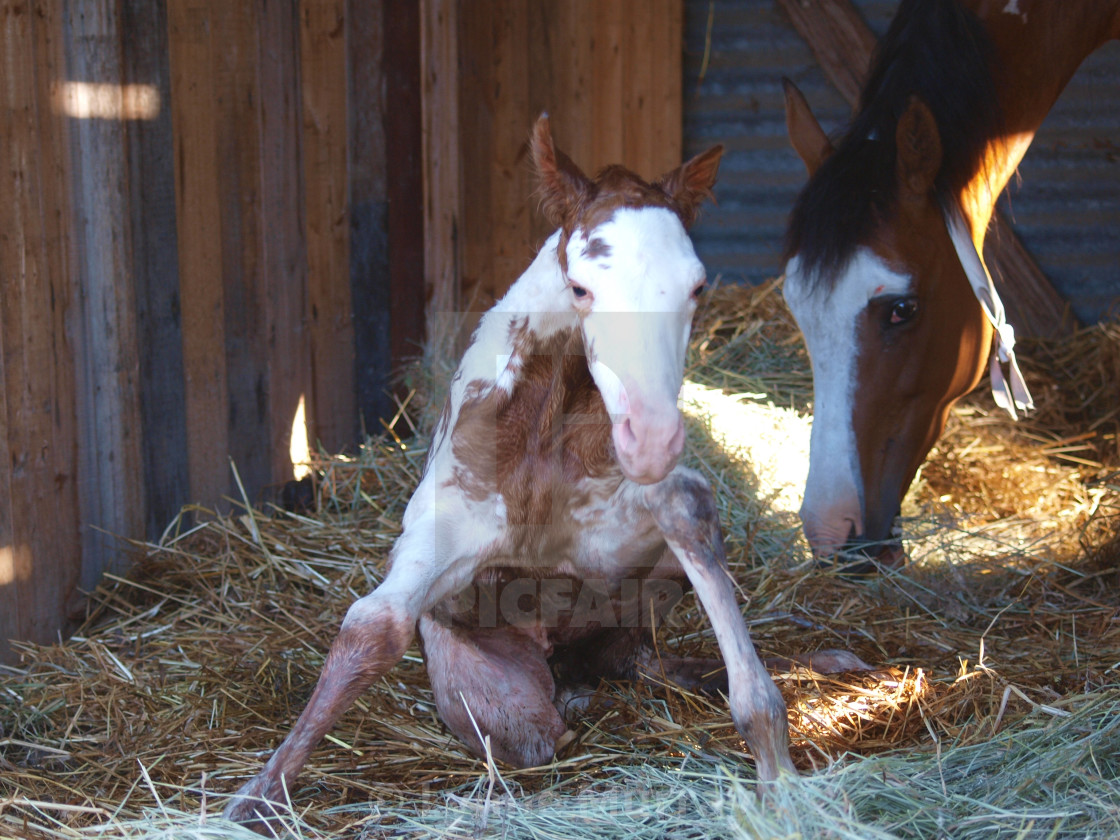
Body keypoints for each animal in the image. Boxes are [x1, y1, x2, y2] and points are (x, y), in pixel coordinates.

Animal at [220, 118, 797, 828]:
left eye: (696, 287)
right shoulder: (445, 529)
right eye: (581, 289)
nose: (653, 438)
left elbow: (686, 507)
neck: (547, 417)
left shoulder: (613, 540)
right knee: (543, 730)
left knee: (645, 664)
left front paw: (782, 788)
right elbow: (371, 628)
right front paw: (251, 799)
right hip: (503, 705)